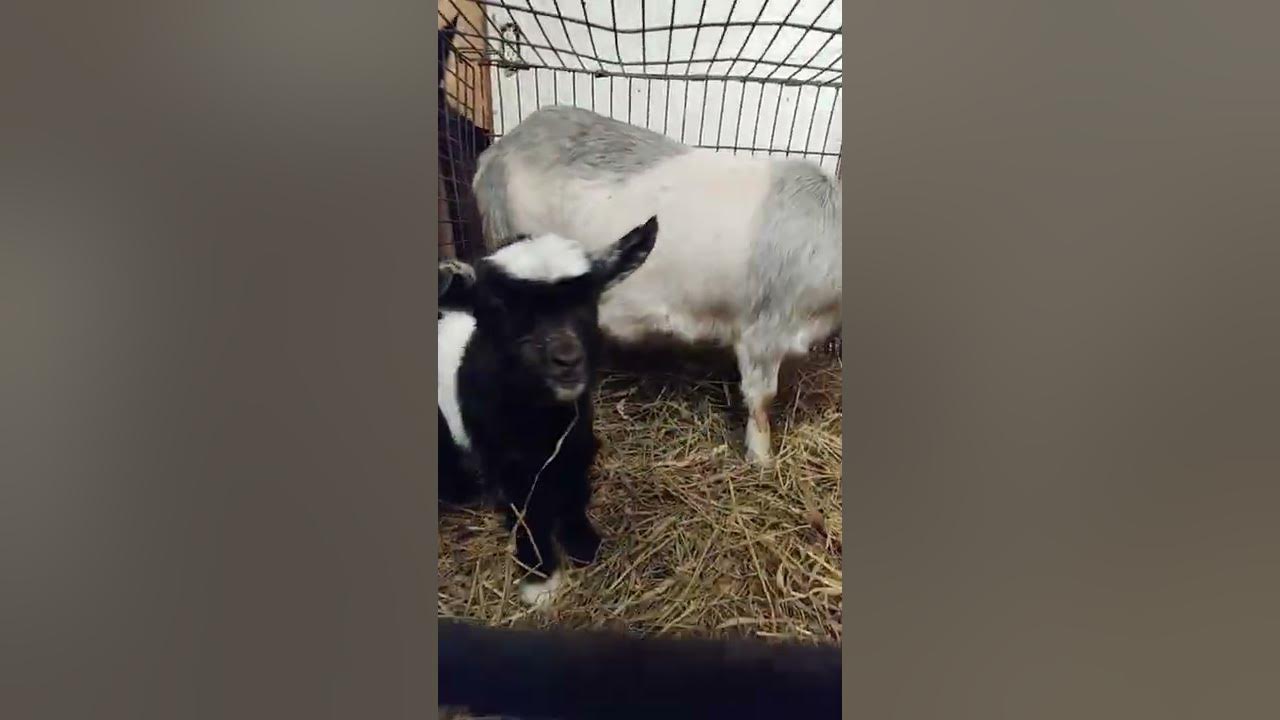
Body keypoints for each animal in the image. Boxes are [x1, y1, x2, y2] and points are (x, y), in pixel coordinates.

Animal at [437, 217, 659, 608]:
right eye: (498, 306)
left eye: (587, 300)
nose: (567, 360)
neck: (543, 427)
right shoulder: (507, 463)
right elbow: (526, 512)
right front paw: (539, 577)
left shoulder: (574, 443)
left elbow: (571, 493)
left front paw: (584, 545)